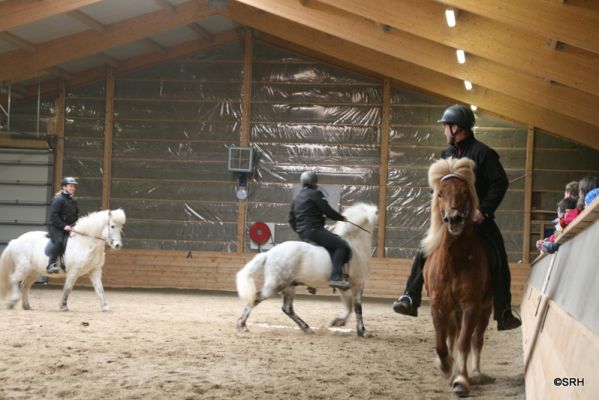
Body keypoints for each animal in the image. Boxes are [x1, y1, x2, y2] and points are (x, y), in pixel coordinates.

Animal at [236, 202, 378, 337]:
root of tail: (268, 253)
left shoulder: (345, 286)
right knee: (257, 297)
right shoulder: (357, 283)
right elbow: (357, 307)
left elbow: (349, 306)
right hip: (276, 285)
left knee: (287, 308)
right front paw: (363, 331)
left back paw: (307, 328)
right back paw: (242, 325)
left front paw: (339, 321)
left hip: (289, 286)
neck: (354, 243)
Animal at [422, 158, 493, 397]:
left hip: (485, 308)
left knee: (476, 340)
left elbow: (464, 342)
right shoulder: (439, 305)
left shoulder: (471, 305)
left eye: (464, 192)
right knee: (452, 335)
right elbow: (441, 343)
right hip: (454, 311)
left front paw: (461, 379)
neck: (455, 260)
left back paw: (476, 373)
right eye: (440, 193)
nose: (454, 219)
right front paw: (446, 366)